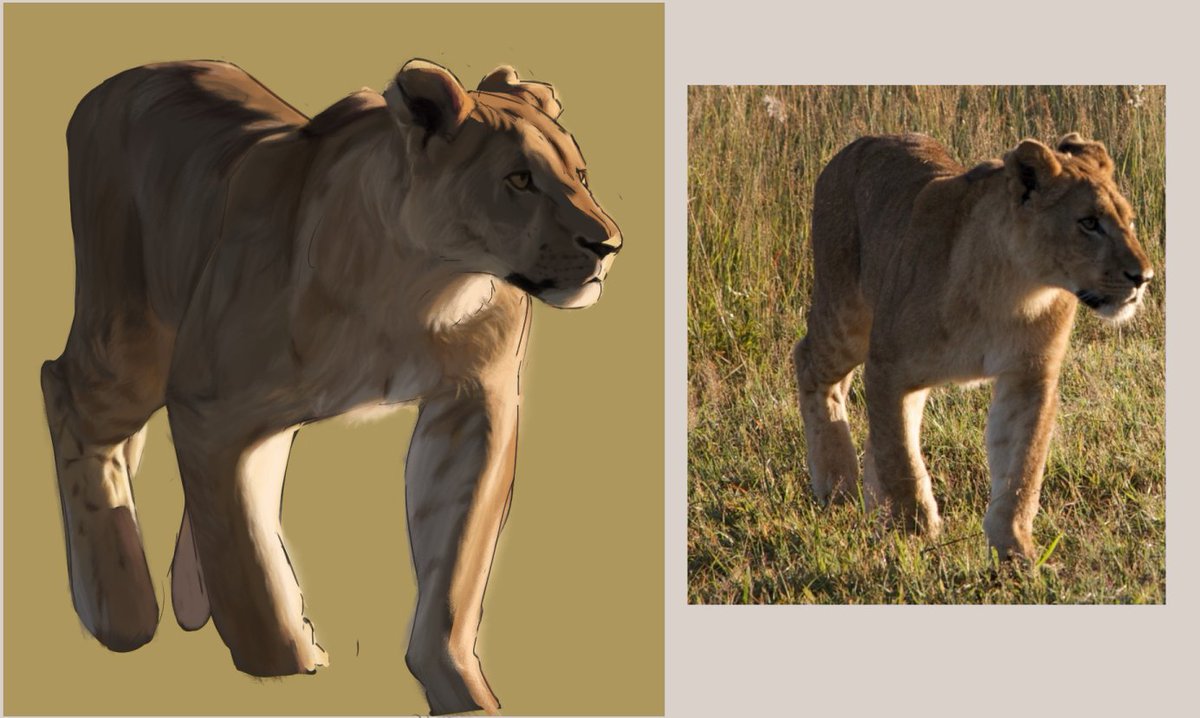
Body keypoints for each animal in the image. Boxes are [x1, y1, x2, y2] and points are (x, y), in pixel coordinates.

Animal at [41, 58, 621, 715]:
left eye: (578, 174)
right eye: (519, 179)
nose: (608, 243)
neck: (422, 286)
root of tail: (118, 82)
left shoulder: (475, 406)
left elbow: (456, 564)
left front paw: (461, 691)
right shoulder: (207, 405)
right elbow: (245, 569)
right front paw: (284, 670)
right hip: (129, 344)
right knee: (65, 392)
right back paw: (121, 612)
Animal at [793, 133, 1151, 561]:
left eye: (1129, 221)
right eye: (1089, 223)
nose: (1144, 277)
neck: (1015, 287)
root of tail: (855, 145)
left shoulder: (1028, 377)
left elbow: (1021, 467)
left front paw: (1014, 550)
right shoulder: (888, 366)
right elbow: (900, 459)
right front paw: (915, 535)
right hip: (845, 319)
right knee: (809, 363)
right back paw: (837, 485)